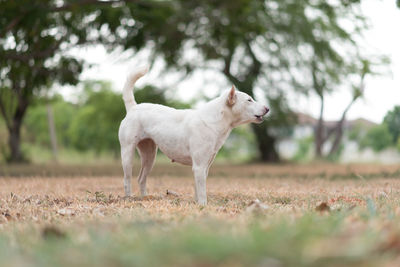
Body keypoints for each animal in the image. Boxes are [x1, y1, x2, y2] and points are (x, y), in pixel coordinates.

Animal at [119, 68, 268, 206]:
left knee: (141, 178)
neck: (214, 121)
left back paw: (145, 198)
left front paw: (197, 203)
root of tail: (133, 108)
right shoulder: (199, 166)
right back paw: (129, 198)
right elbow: (202, 191)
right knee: (127, 180)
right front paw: (203, 205)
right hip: (127, 154)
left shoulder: (204, 167)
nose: (267, 108)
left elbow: (198, 188)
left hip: (149, 156)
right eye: (249, 100)